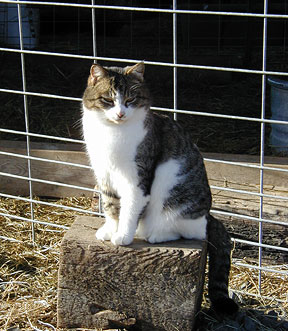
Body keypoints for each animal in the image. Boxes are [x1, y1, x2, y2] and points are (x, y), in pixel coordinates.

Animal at [81, 63, 238, 316]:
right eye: (108, 99)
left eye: (131, 99)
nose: (120, 113)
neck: (113, 134)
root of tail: (209, 215)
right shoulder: (105, 175)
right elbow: (111, 206)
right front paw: (111, 229)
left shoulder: (137, 178)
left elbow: (129, 208)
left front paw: (123, 235)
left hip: (176, 197)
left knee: (191, 231)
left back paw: (156, 234)